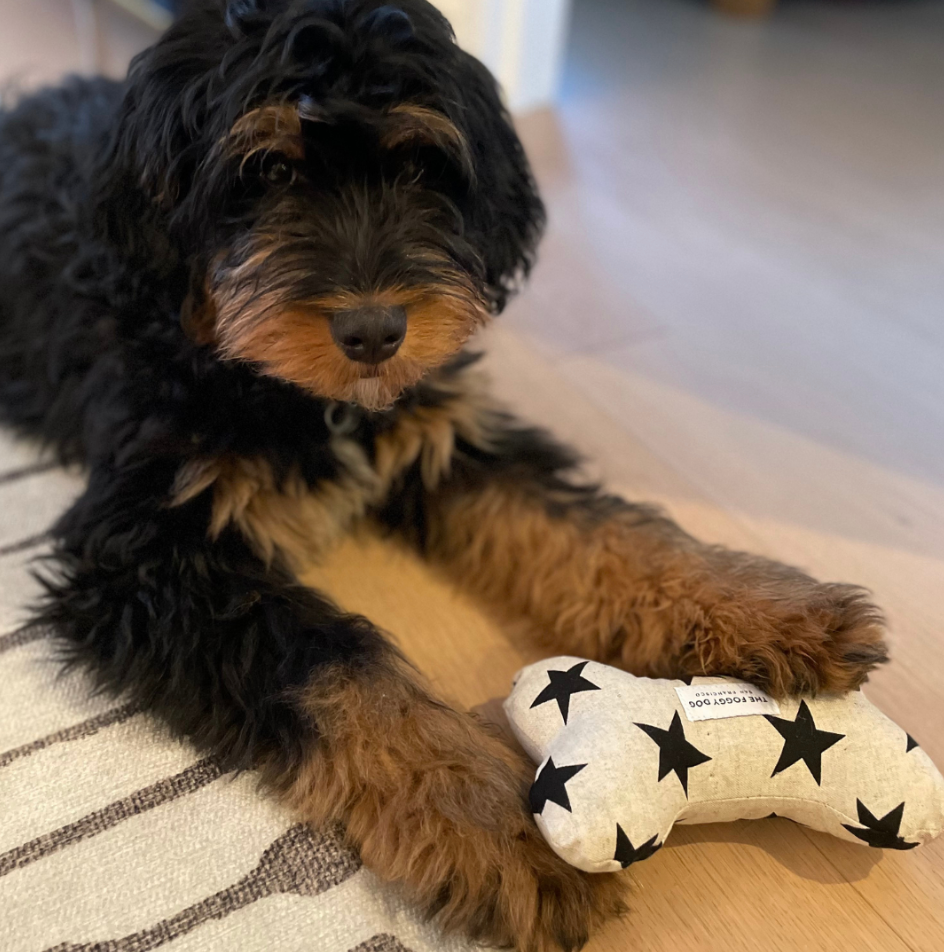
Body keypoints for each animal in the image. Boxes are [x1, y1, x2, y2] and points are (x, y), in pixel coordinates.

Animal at [0, 1, 888, 952]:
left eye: (420, 165)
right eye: (267, 169)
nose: (374, 332)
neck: (307, 399)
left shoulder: (443, 436)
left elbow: (597, 529)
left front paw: (770, 611)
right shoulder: (143, 550)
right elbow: (335, 661)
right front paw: (494, 825)